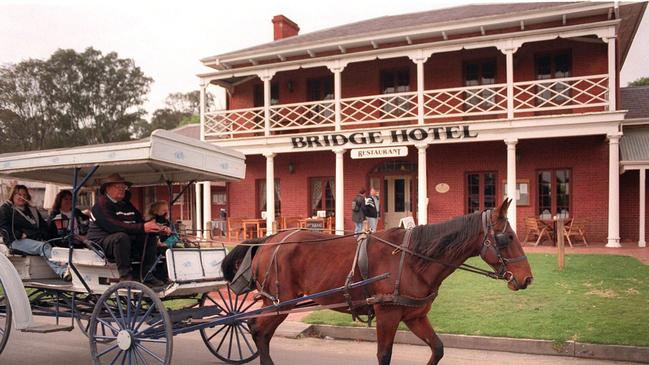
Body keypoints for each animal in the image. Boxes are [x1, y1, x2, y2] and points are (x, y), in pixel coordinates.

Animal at [221, 199, 532, 364]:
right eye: (507, 238)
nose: (527, 278)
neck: (412, 259)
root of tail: (268, 240)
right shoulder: (388, 314)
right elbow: (384, 355)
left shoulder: (415, 316)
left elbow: (438, 348)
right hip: (280, 303)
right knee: (259, 331)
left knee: (257, 330)